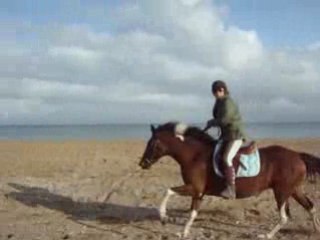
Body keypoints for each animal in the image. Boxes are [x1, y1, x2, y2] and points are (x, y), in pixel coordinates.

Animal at [139, 123, 320, 239]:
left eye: (152, 143)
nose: (142, 164)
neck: (194, 155)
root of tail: (297, 156)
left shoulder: (194, 188)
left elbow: (168, 191)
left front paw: (163, 217)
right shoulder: (198, 193)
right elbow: (193, 212)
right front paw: (183, 232)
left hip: (281, 192)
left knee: (284, 216)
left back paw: (266, 235)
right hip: (294, 190)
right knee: (310, 206)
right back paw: (316, 229)